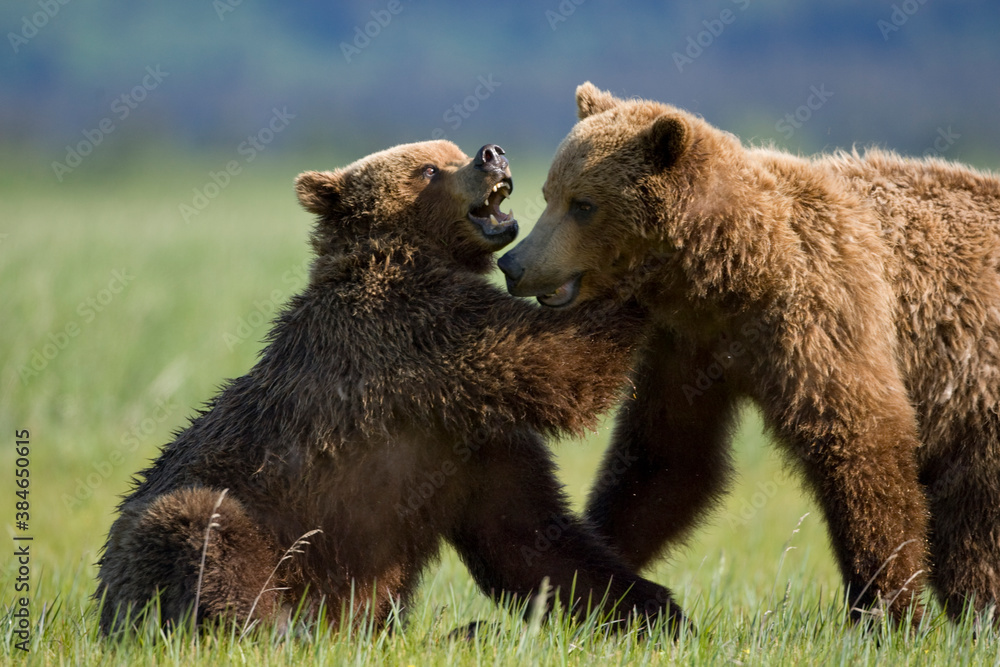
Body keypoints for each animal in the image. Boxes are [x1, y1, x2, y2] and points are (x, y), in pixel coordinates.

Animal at [95, 139, 689, 637]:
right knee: (201, 528)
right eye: (428, 168)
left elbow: (531, 539)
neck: (416, 253)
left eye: (452, 148)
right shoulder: (424, 337)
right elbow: (563, 364)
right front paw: (650, 256)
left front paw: (657, 612)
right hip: (230, 523)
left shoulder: (472, 440)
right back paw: (276, 629)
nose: (491, 154)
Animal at [498, 82, 1000, 624]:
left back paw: (978, 609)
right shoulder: (690, 347)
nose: (514, 264)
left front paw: (890, 610)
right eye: (549, 193)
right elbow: (665, 459)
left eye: (583, 204)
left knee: (974, 525)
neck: (736, 274)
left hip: (976, 396)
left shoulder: (824, 310)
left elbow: (861, 441)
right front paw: (585, 578)